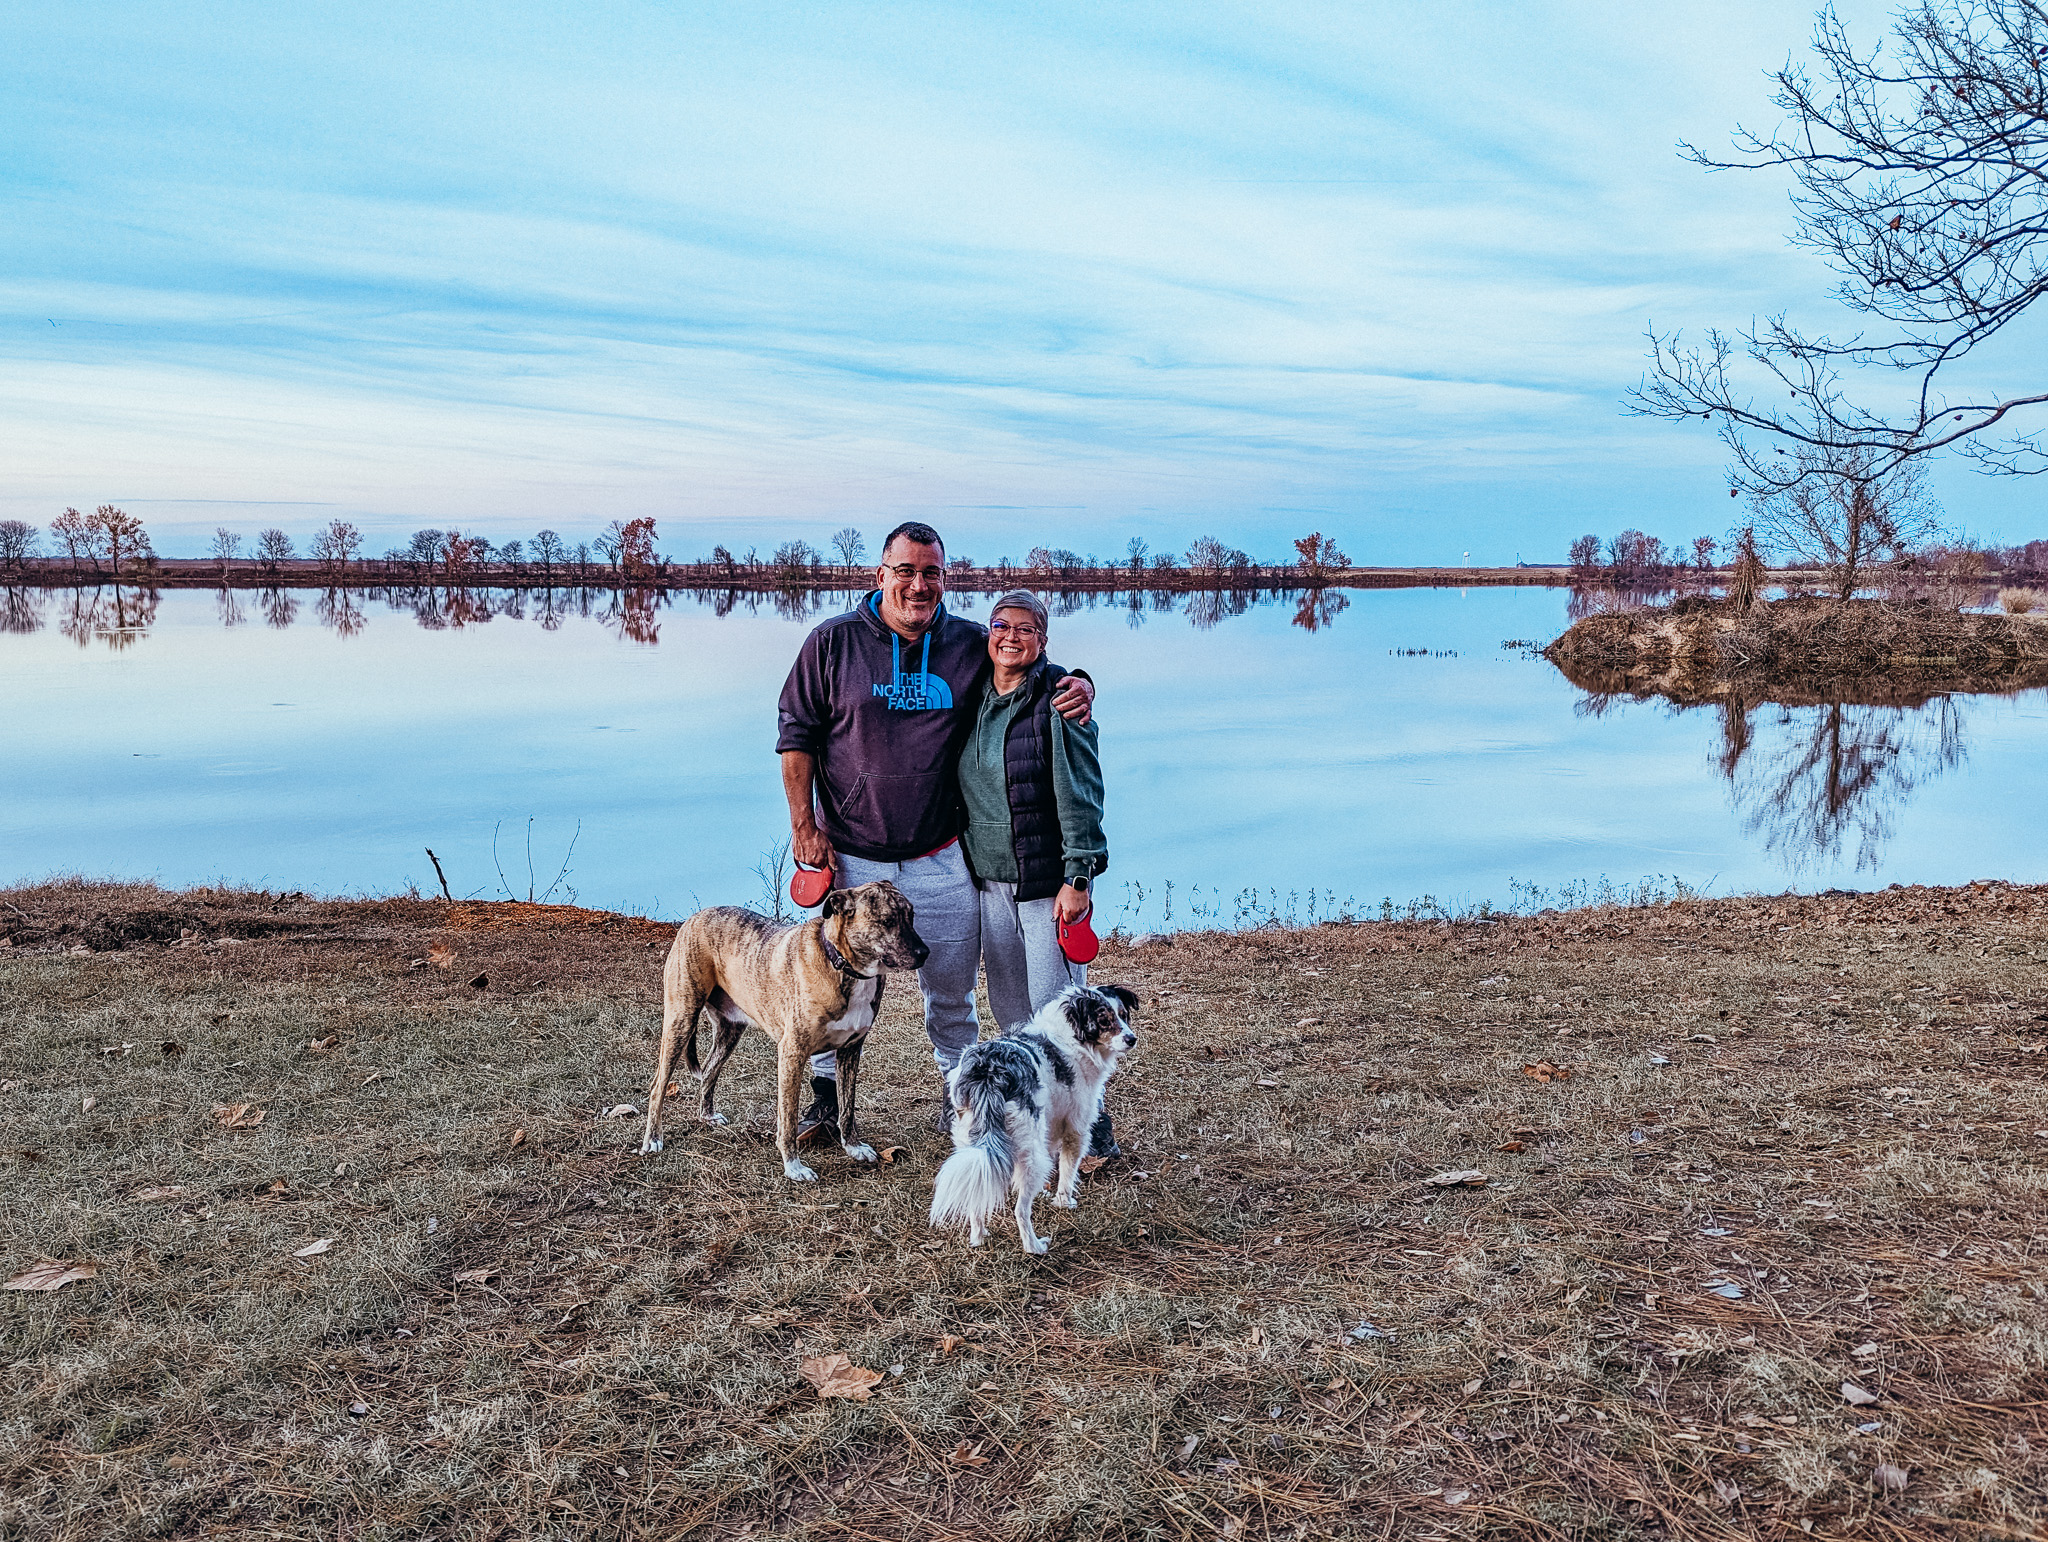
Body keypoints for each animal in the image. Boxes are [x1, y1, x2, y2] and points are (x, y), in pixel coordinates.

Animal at [638, 876, 929, 1179]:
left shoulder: (850, 1051)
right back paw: (653, 1138)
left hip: (730, 1031)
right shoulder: (792, 1053)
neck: (841, 965)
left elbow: (847, 1108)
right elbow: (788, 1118)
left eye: (911, 916)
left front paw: (853, 1147)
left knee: (709, 1070)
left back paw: (707, 1115)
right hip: (681, 1019)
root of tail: (695, 917)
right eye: (887, 921)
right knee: (658, 1085)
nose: (925, 953)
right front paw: (794, 1166)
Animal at [929, 987, 1138, 1253]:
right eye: (1104, 1020)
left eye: (1124, 1014)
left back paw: (978, 1237)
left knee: (976, 1196)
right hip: (1031, 1156)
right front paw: (1064, 1201)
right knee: (1020, 1210)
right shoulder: (1076, 1130)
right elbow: (1068, 1171)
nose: (1132, 1039)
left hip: (971, 1144)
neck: (1072, 1034)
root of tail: (988, 1074)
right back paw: (1034, 1247)